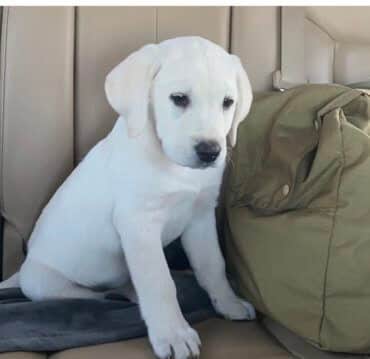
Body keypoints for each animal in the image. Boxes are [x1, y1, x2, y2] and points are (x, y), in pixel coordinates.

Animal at [0, 36, 254, 359]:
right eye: (179, 98)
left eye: (227, 102)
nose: (210, 151)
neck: (173, 166)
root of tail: (22, 271)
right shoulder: (139, 225)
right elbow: (159, 282)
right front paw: (173, 334)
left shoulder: (201, 217)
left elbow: (213, 266)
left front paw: (229, 304)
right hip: (44, 283)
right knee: (97, 294)